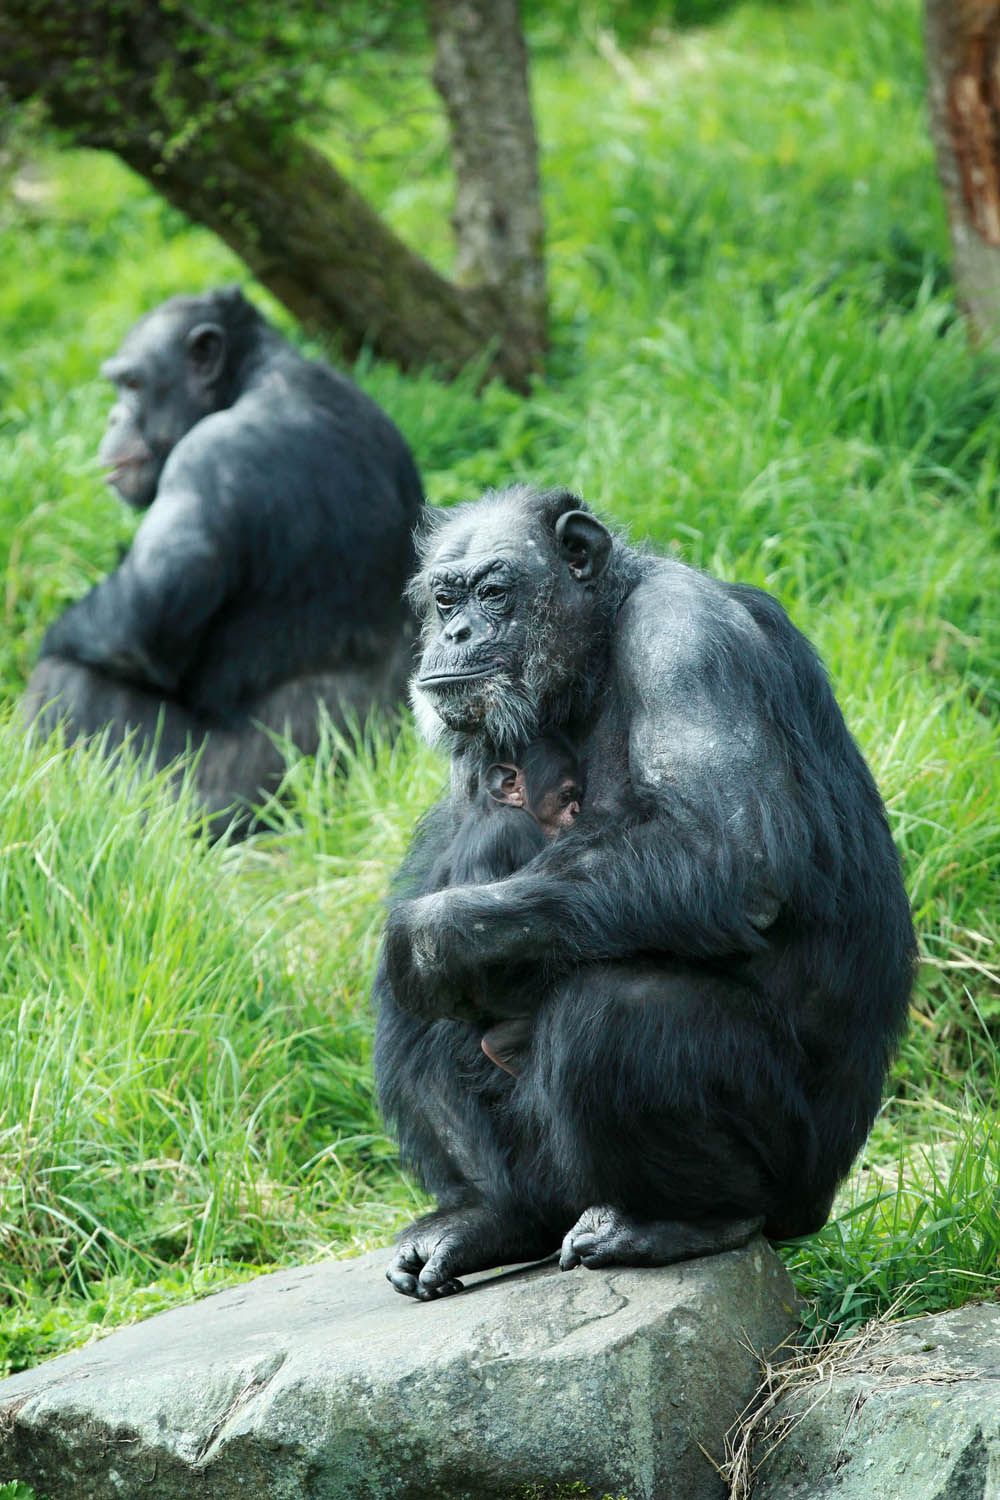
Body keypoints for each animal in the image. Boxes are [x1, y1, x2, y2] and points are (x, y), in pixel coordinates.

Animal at [23, 286, 422, 828]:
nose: (113, 417)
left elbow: (133, 621)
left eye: (132, 384)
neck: (249, 376)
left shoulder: (206, 457)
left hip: (202, 794)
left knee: (67, 679)